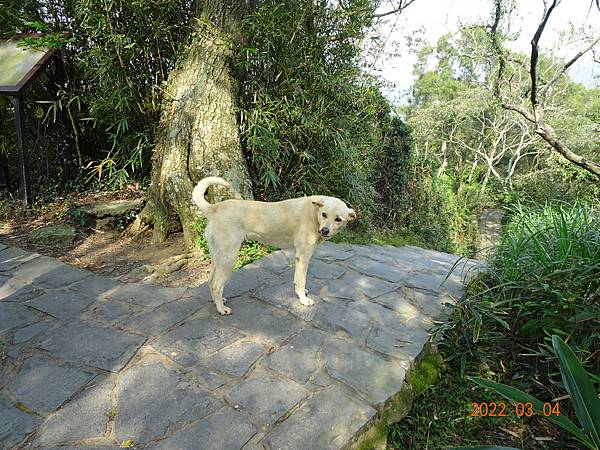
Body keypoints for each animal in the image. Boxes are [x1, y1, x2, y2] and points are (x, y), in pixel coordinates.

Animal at [191, 178, 356, 314]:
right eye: (324, 215)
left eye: (338, 219)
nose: (324, 231)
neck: (314, 214)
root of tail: (214, 208)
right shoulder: (303, 257)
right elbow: (301, 281)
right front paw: (303, 300)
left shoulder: (299, 258)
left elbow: (297, 280)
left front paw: (300, 294)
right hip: (229, 259)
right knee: (216, 285)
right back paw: (221, 309)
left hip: (217, 257)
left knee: (210, 281)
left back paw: (217, 302)